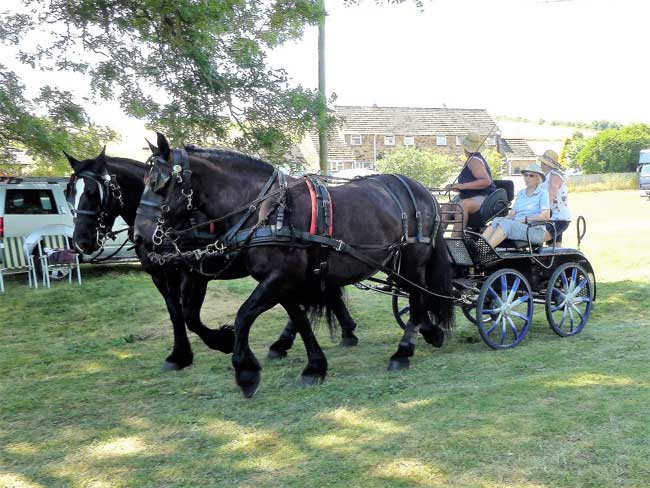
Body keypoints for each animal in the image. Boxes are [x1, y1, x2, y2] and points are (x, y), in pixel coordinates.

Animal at [64, 147, 360, 372]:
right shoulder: (161, 276)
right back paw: (341, 332)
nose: (81, 241)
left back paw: (291, 342)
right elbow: (175, 313)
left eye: (92, 192)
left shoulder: (194, 273)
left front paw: (223, 341)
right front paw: (179, 355)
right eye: (69, 194)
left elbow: (190, 315)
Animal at [134, 132, 454, 396]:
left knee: (416, 296)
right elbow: (299, 319)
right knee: (414, 295)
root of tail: (421, 189)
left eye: (159, 183)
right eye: (145, 182)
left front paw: (245, 371)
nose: (140, 235)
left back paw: (403, 352)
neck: (265, 210)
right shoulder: (283, 281)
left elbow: (243, 315)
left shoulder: (278, 277)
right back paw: (430, 332)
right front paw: (314, 366)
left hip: (413, 260)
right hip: (393, 262)